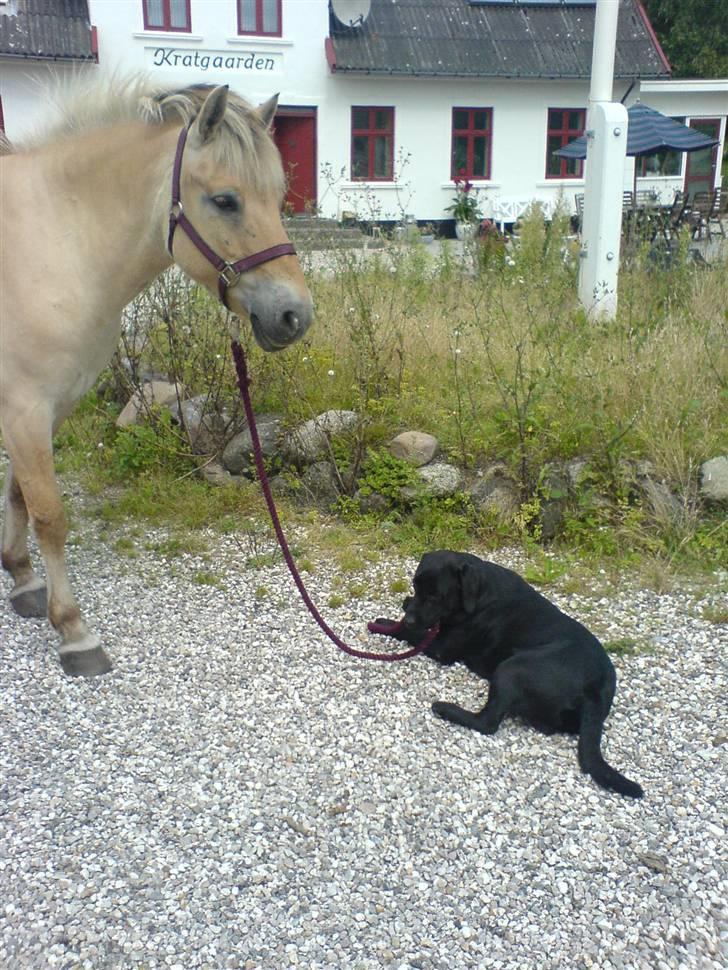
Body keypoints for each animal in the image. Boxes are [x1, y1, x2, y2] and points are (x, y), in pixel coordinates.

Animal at [0, 77, 312, 672]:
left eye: (278, 196)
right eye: (225, 200)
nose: (295, 316)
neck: (54, 241)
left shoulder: (47, 407)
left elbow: (20, 495)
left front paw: (24, 581)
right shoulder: (24, 408)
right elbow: (50, 513)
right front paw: (73, 631)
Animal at [382, 548, 644, 796]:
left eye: (435, 595)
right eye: (415, 586)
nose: (410, 619)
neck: (479, 593)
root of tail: (595, 691)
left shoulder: (441, 647)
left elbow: (414, 635)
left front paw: (387, 623)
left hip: (511, 669)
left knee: (487, 723)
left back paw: (445, 709)